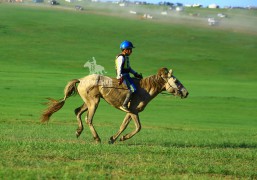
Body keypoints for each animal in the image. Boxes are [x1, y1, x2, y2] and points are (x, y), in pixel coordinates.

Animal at [40, 67, 188, 143]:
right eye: (176, 81)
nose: (186, 93)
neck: (144, 89)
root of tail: (81, 80)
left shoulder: (130, 112)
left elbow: (123, 126)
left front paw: (113, 139)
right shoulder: (134, 111)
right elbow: (138, 127)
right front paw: (122, 138)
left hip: (89, 102)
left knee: (77, 112)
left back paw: (78, 131)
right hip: (94, 103)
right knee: (89, 119)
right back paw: (96, 138)